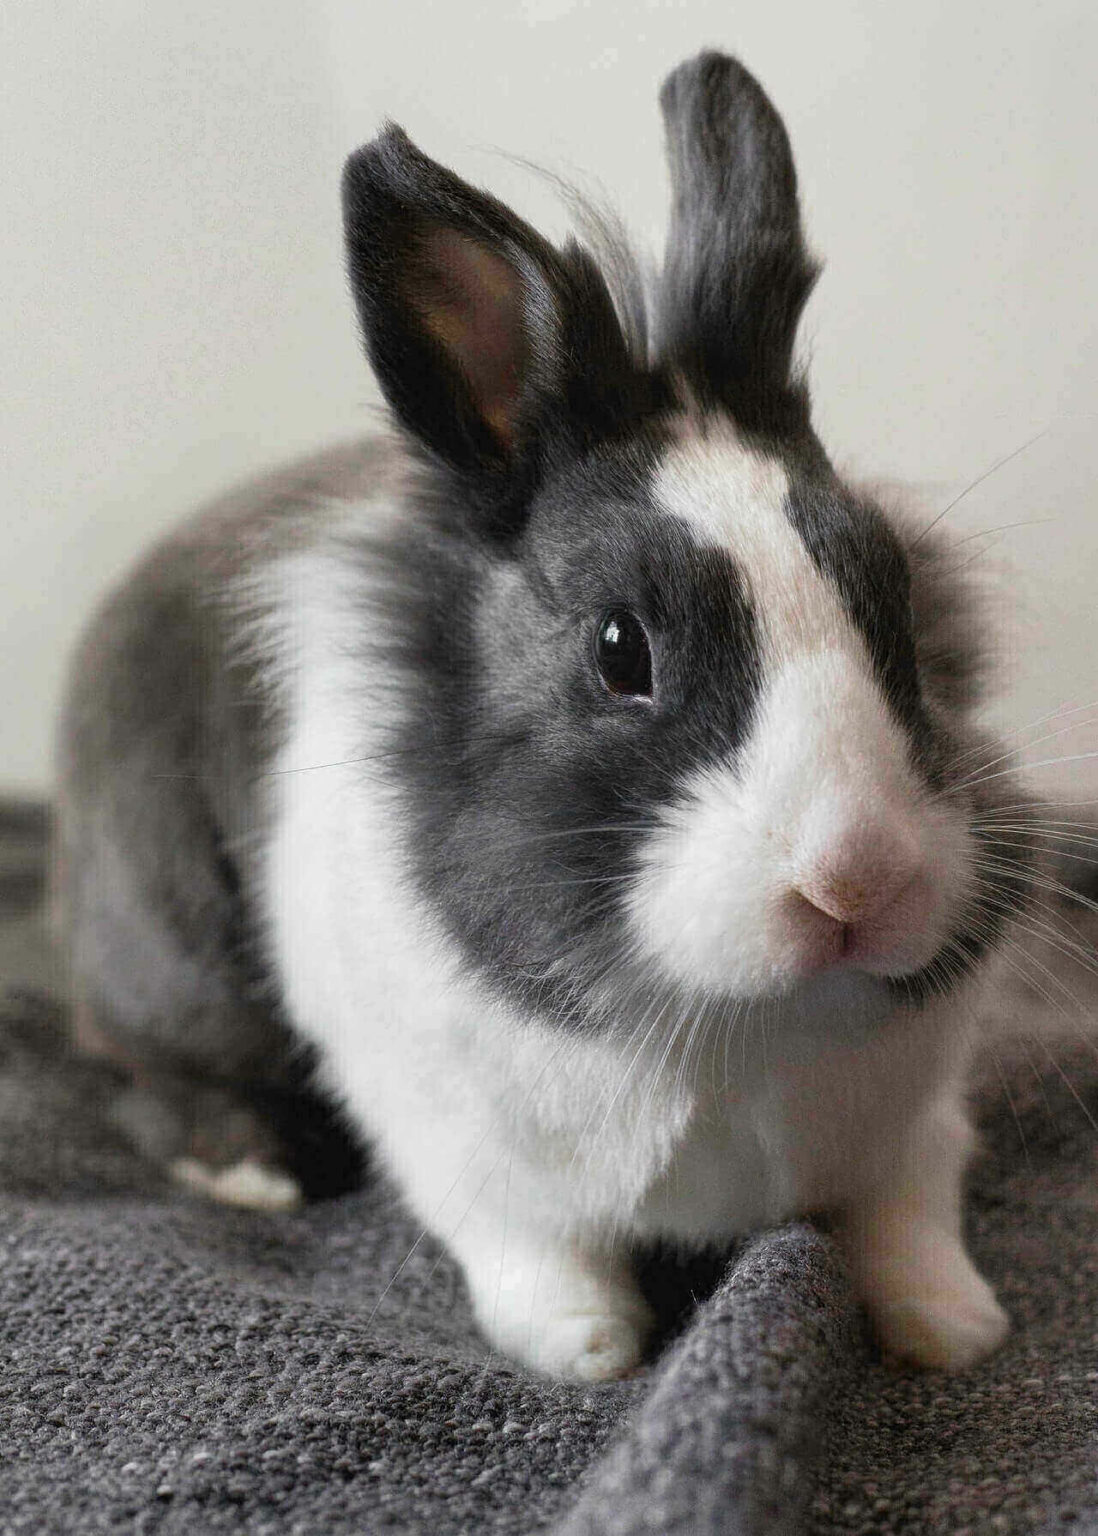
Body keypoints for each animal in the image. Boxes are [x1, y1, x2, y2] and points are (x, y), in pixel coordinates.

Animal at [55, 51, 1038, 1382]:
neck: (741, 1024)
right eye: (621, 650)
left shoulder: (918, 1121)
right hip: (165, 955)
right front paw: (591, 1351)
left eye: (899, 601)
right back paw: (254, 1172)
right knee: (140, 1071)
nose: (857, 881)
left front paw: (955, 1327)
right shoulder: (458, 1147)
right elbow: (534, 1252)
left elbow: (910, 1213)